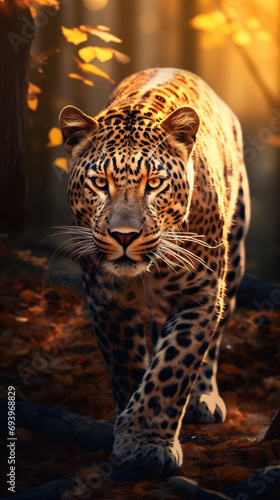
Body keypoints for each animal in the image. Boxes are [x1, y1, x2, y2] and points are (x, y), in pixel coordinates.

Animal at [58, 68, 249, 474]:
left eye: (154, 183)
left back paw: (204, 398)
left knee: (214, 342)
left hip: (235, 260)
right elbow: (127, 363)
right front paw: (132, 430)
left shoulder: (201, 293)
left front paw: (145, 443)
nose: (124, 236)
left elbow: (174, 366)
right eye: (100, 183)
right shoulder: (106, 295)